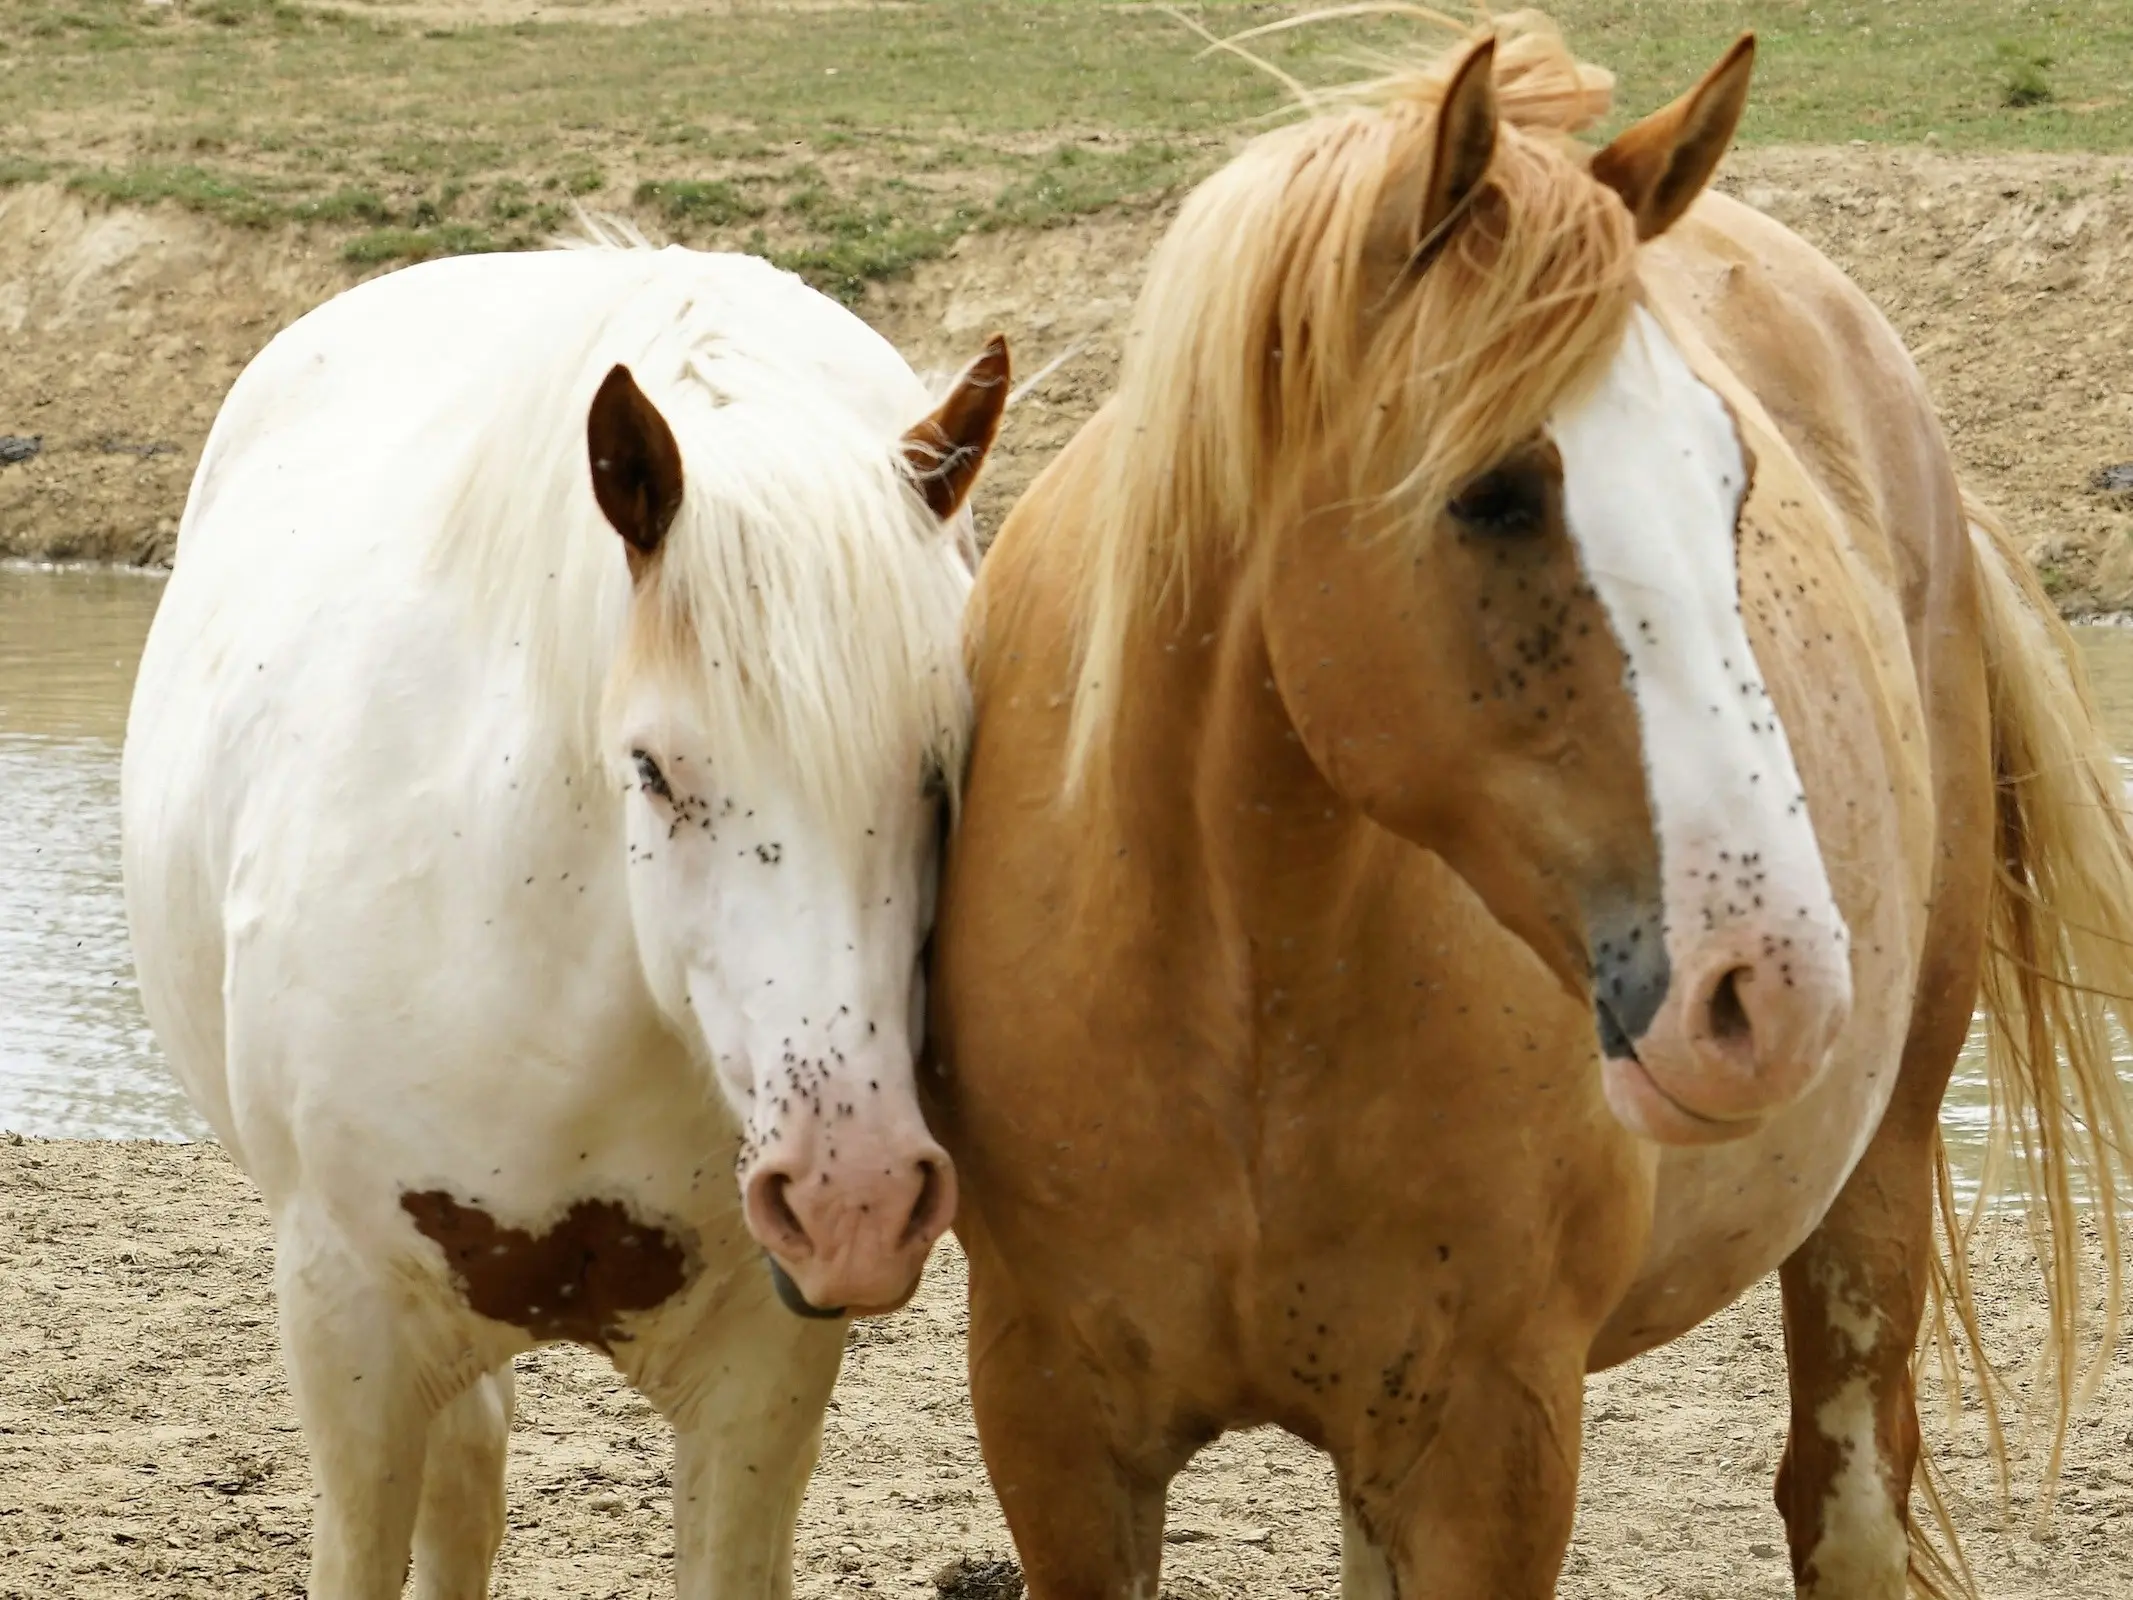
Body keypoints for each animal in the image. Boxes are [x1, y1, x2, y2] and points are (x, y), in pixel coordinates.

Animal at [929, 15, 2133, 1600]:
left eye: (1734, 482)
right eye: (1493, 493)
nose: (1778, 987)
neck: (1242, 982)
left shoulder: (1488, 1447)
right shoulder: (1057, 1434)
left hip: (1878, 1186)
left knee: (1845, 1490)